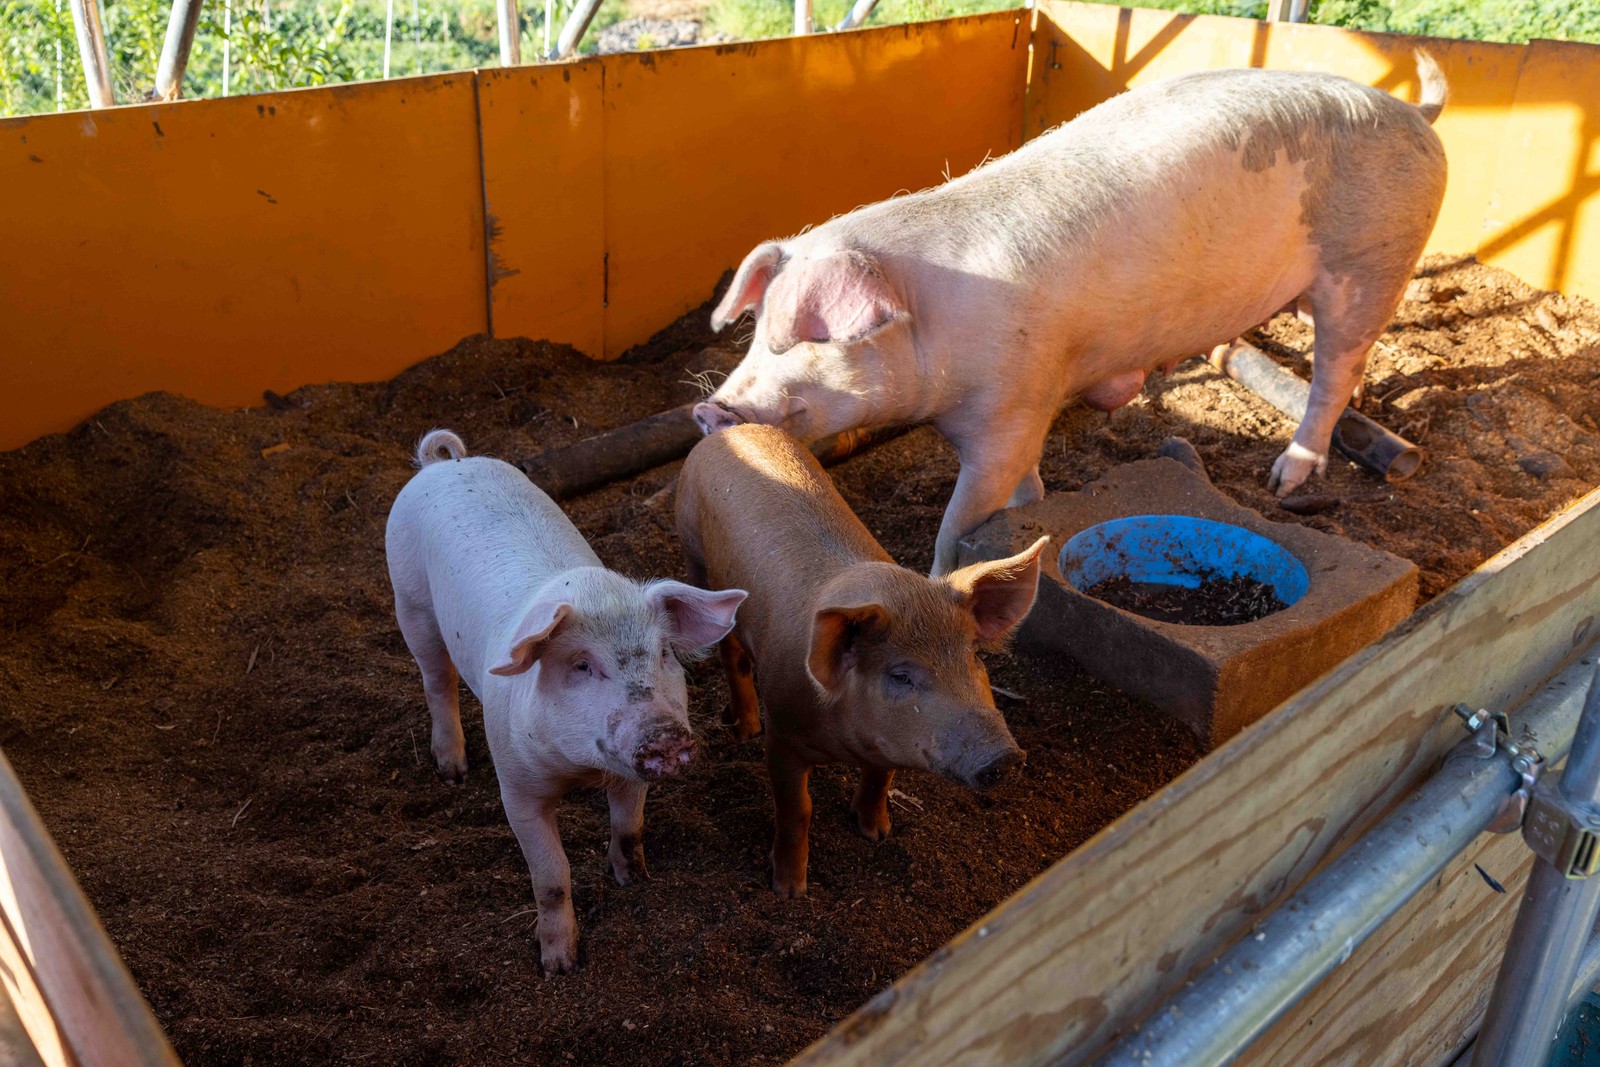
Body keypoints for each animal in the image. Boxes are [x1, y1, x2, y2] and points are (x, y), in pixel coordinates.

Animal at [697, 58, 1452, 575]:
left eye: (809, 338)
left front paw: (939, 581)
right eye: (755, 332)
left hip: (1373, 263)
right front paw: (1031, 517)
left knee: (1336, 372)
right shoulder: (1025, 410)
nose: (712, 409)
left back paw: (1286, 477)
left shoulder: (1011, 406)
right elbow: (1025, 486)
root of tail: (1415, 111)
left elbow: (961, 521)